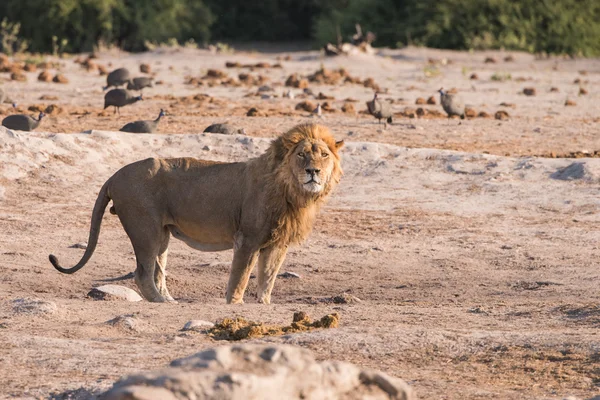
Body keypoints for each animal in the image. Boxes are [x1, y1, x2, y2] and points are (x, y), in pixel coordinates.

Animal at [49, 122, 344, 304]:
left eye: (324, 155)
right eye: (302, 155)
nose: (313, 171)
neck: (293, 192)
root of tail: (114, 175)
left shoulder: (277, 243)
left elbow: (268, 278)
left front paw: (264, 304)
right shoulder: (247, 239)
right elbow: (240, 277)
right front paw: (235, 305)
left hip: (162, 236)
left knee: (157, 272)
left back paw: (169, 300)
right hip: (145, 230)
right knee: (142, 273)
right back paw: (161, 302)